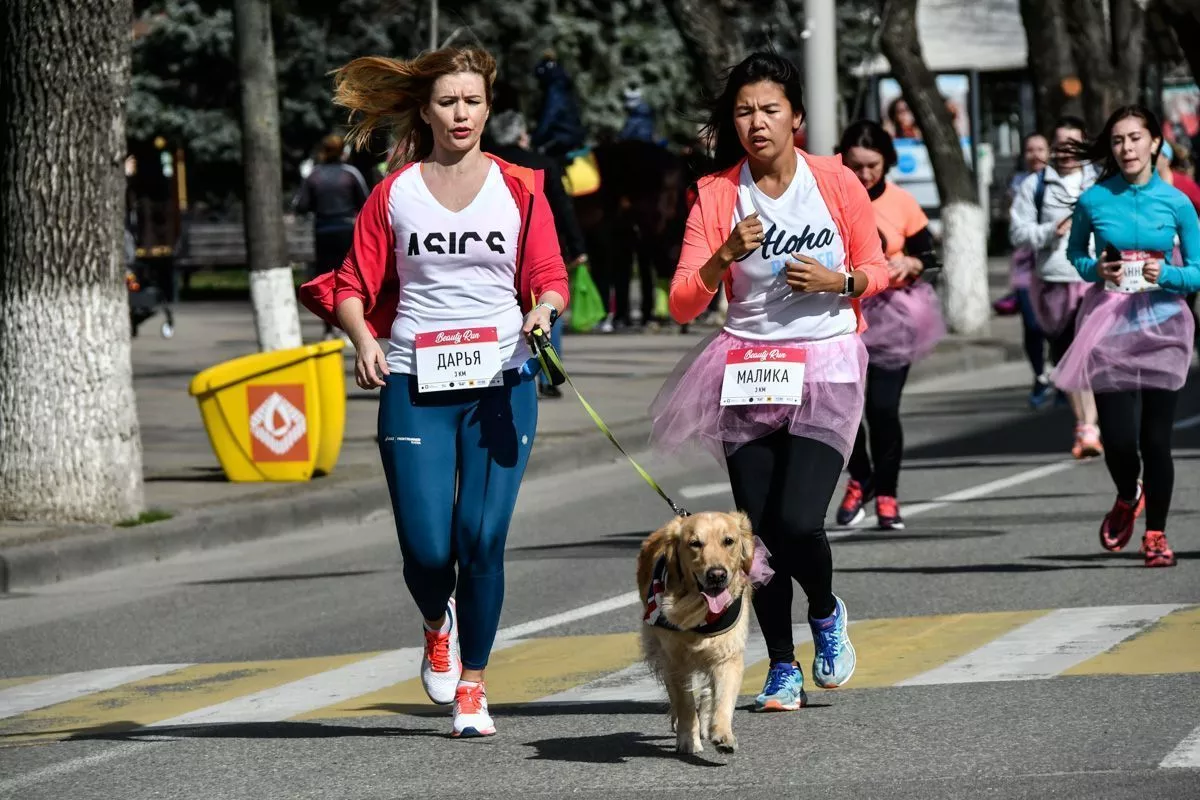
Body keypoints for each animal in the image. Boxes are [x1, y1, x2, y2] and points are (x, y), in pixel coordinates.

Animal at [636, 510, 768, 755]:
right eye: (695, 543)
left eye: (728, 541)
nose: (716, 575)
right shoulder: (675, 660)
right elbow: (685, 703)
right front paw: (689, 739)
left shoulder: (728, 655)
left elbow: (723, 699)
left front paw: (723, 735)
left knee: (708, 692)